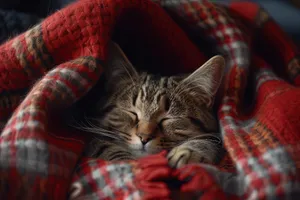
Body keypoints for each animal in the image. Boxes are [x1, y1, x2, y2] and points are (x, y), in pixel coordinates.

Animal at [81, 42, 225, 169]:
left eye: (168, 118)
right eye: (132, 112)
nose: (144, 137)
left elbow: (211, 140)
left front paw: (190, 151)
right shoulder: (94, 139)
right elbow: (106, 147)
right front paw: (126, 162)